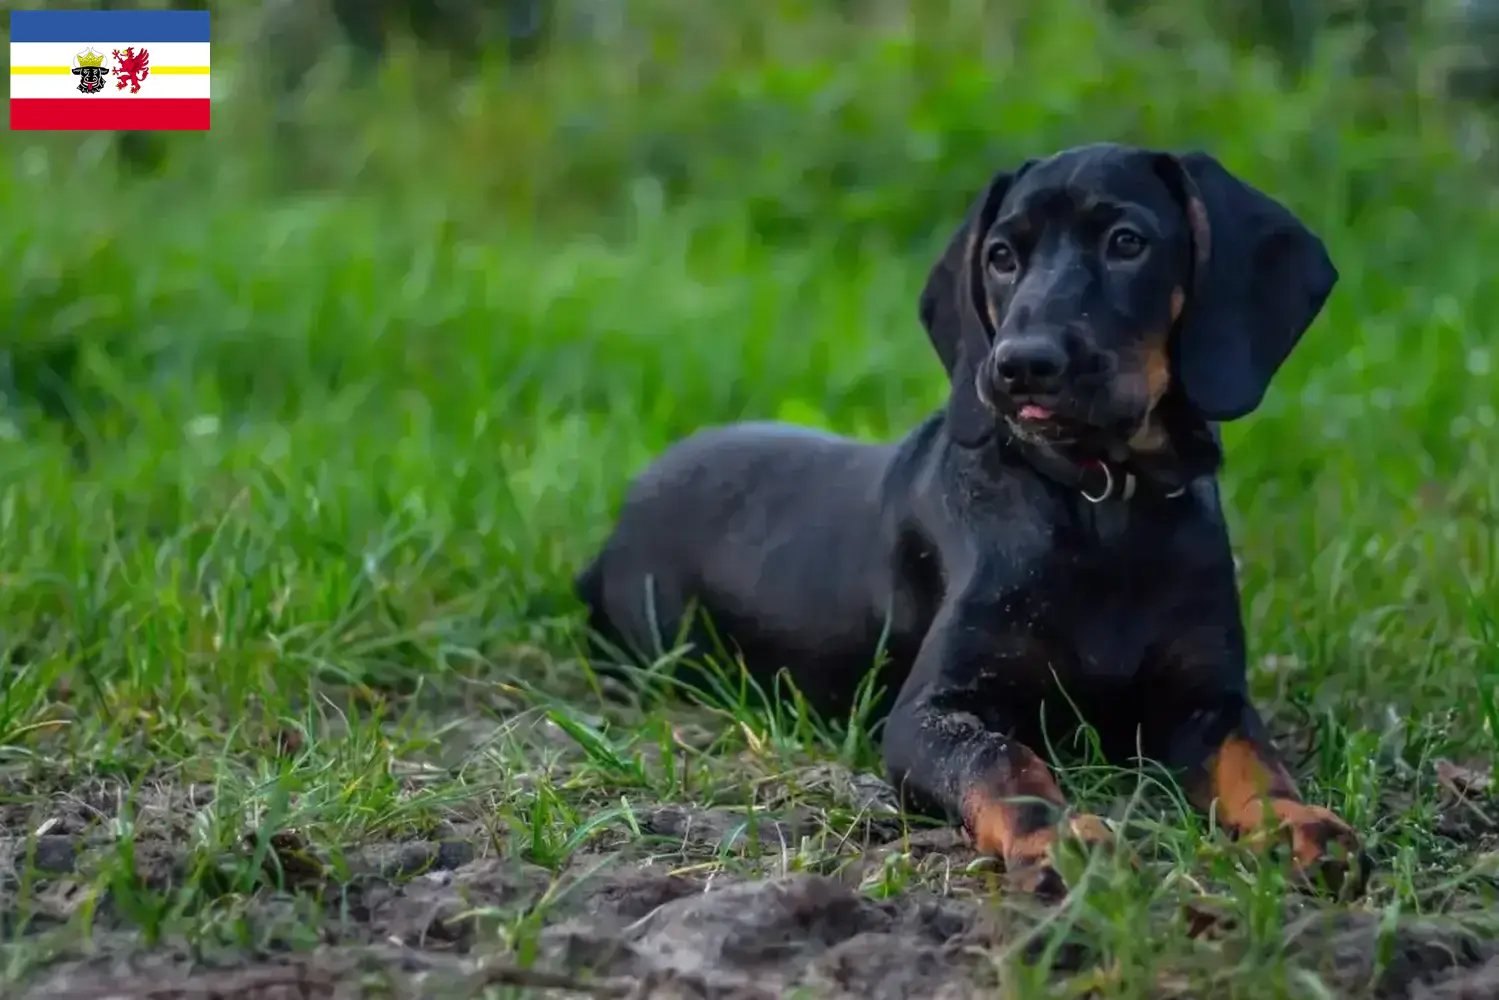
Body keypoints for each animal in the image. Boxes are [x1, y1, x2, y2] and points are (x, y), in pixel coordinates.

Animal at [575, 138, 1373, 893]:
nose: (1022, 364)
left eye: (1127, 241)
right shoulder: (933, 710)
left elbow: (1256, 764)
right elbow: (1003, 761)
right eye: (1000, 256)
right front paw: (1060, 837)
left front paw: (1302, 824)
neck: (1100, 504)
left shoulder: (1208, 699)